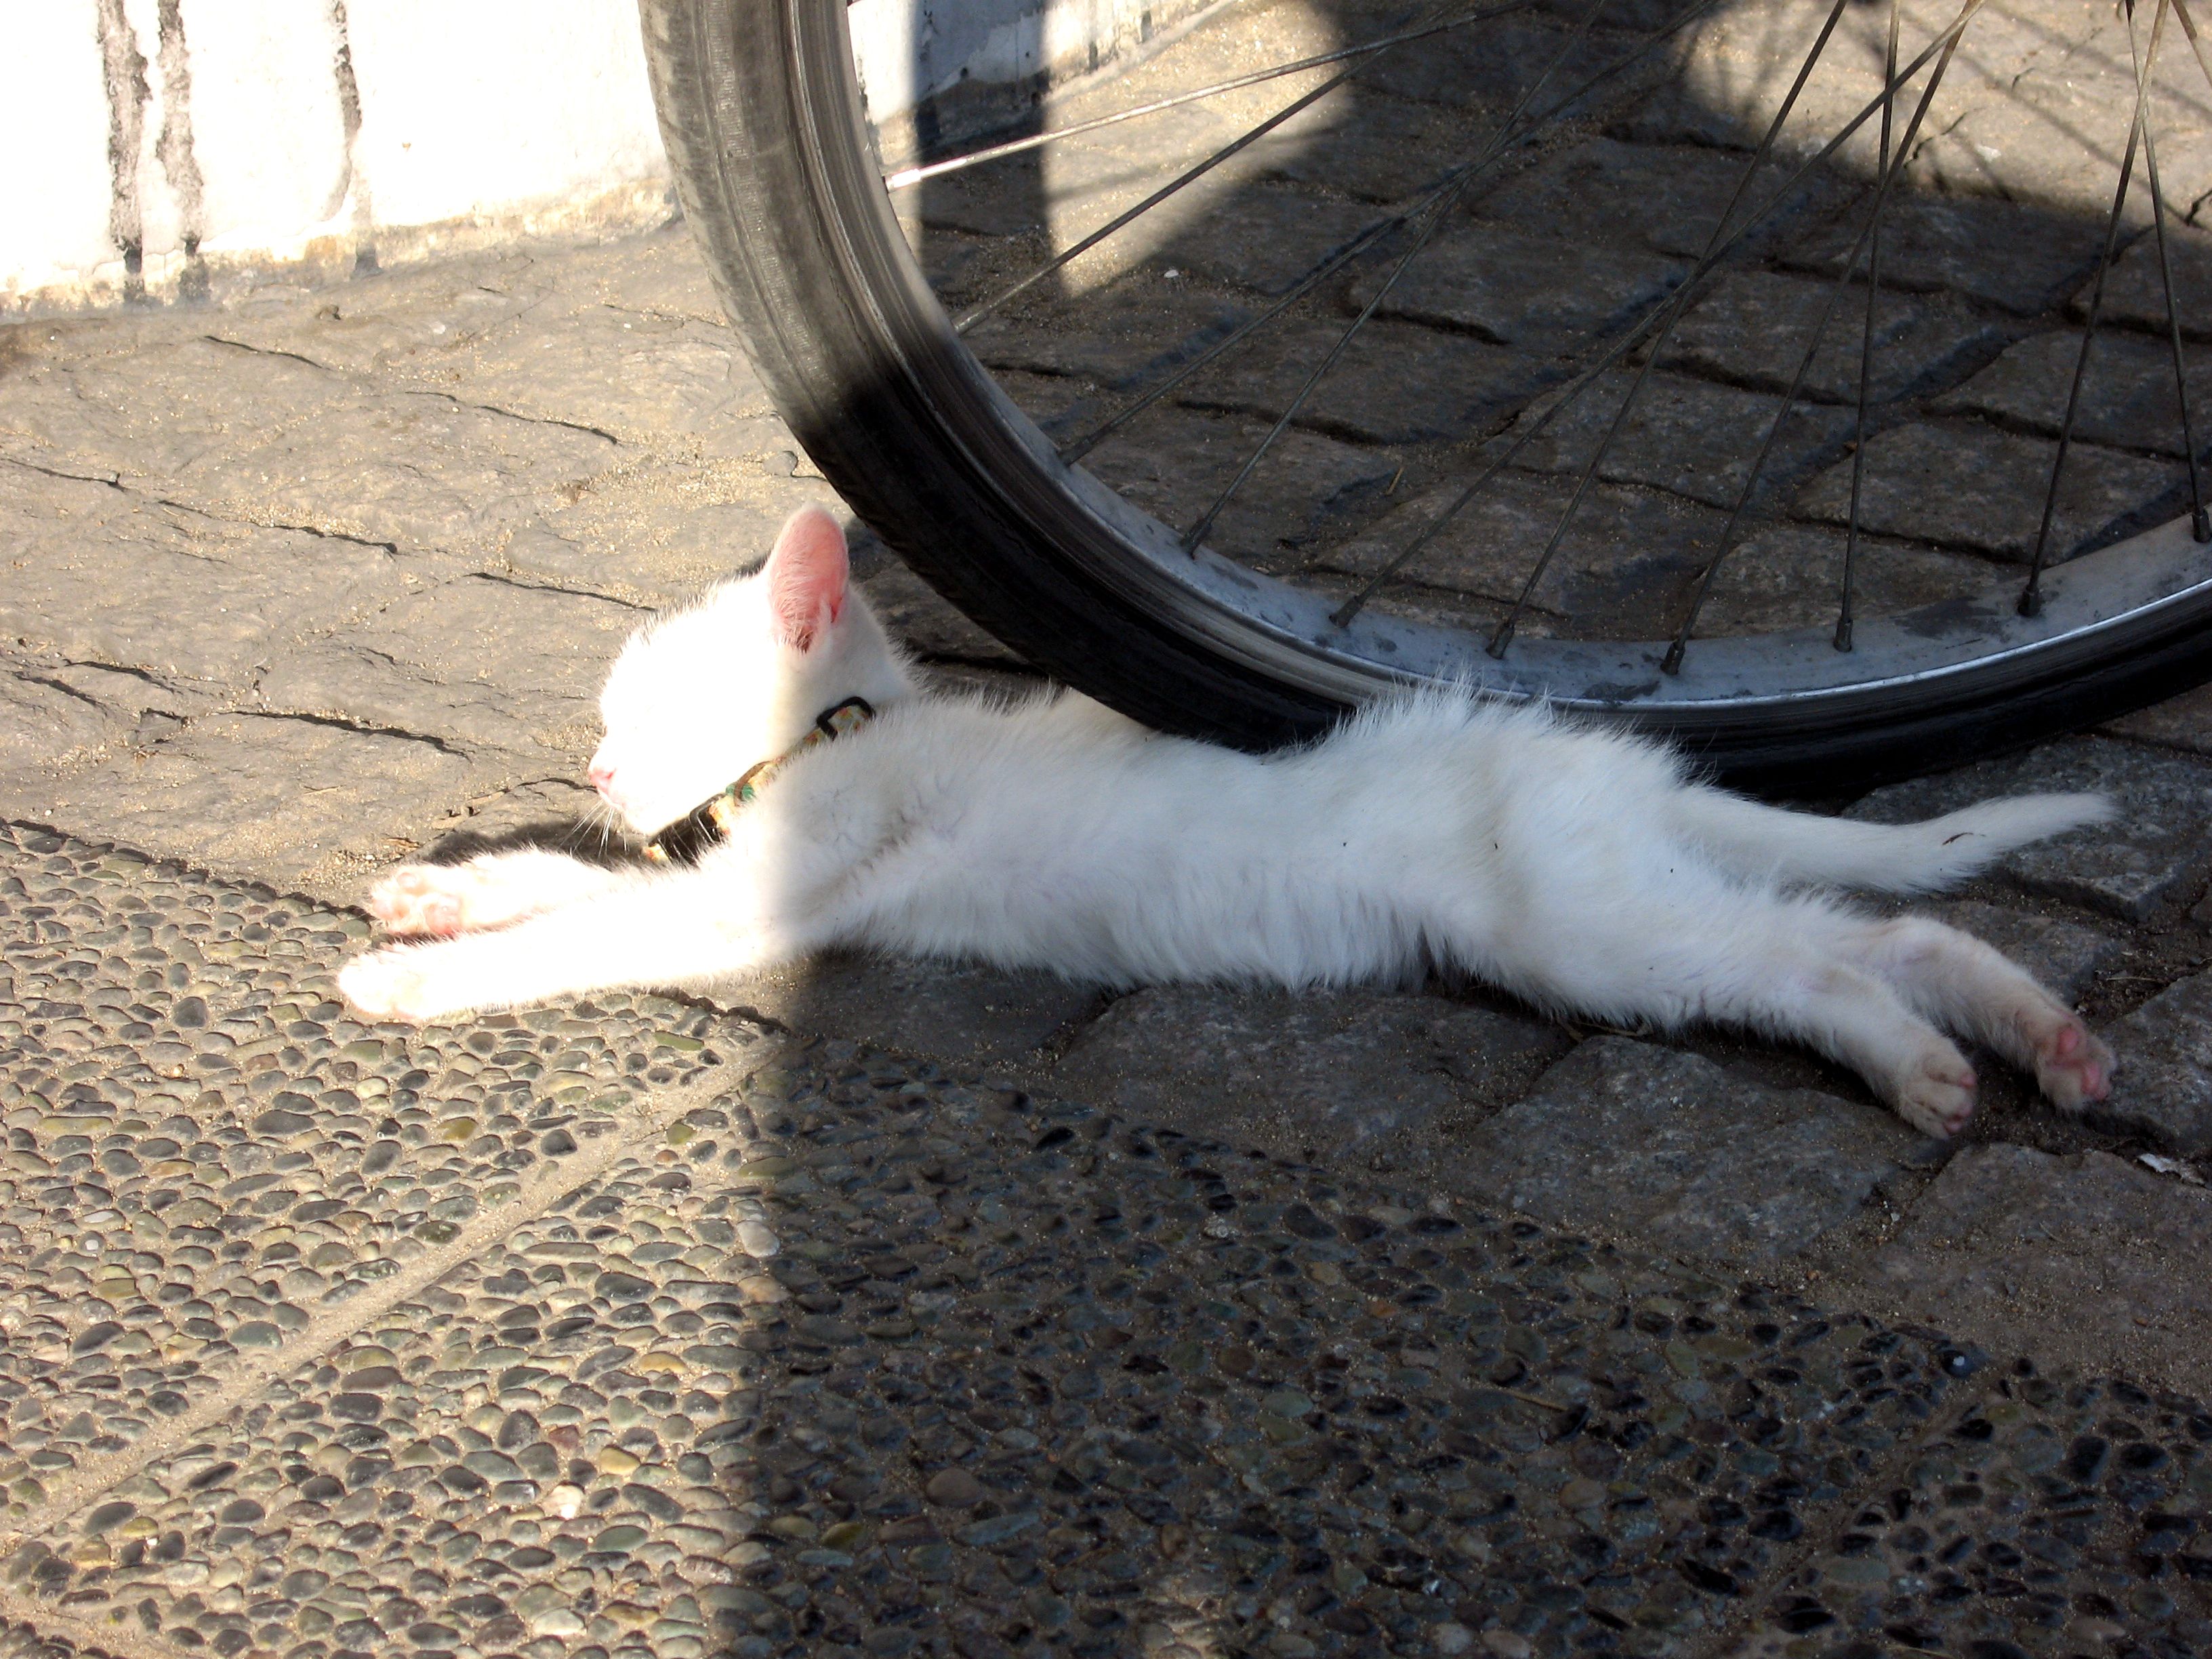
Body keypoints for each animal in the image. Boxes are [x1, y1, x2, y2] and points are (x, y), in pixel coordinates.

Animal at [340, 505, 2118, 1139]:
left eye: (636, 711)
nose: (595, 773)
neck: (846, 738)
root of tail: (1614, 766)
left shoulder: (752, 904)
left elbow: (592, 930)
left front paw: (420, 981)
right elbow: (549, 888)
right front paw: (438, 894)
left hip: (1585, 932)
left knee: (1828, 957)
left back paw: (1942, 1061)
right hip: (1629, 902)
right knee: (1881, 929)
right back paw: (2022, 1043)